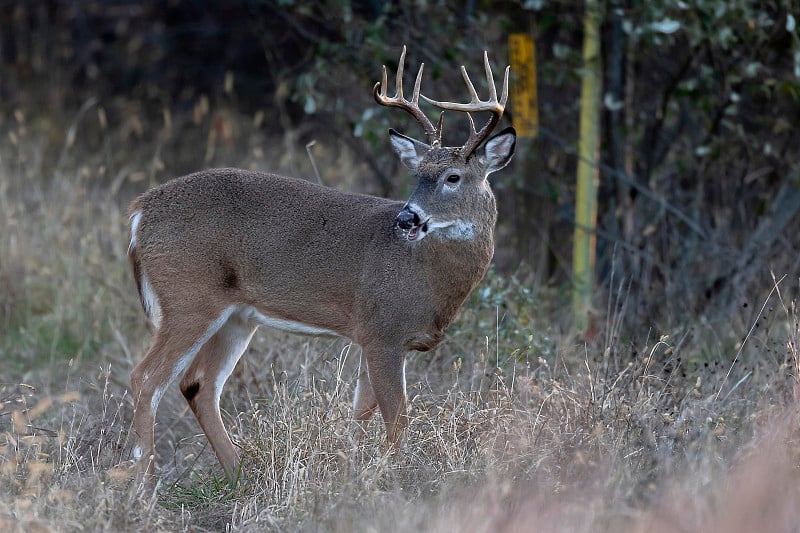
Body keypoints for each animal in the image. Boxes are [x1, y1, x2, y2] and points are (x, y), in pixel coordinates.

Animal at [125, 46, 512, 482]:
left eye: (453, 177)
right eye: (418, 174)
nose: (407, 218)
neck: (428, 278)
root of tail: (140, 213)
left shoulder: (371, 335)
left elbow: (361, 412)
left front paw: (351, 471)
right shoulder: (383, 331)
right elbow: (397, 420)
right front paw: (393, 478)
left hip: (236, 316)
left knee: (198, 384)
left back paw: (239, 475)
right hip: (188, 298)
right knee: (146, 379)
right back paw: (144, 483)